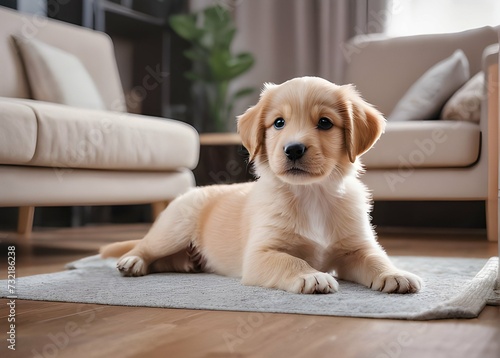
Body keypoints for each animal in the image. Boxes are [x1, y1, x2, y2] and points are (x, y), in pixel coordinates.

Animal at [101, 75, 422, 294]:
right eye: (279, 123)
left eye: (325, 123)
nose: (293, 149)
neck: (312, 194)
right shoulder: (259, 254)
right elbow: (290, 261)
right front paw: (310, 275)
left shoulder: (355, 248)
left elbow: (376, 258)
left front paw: (394, 273)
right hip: (173, 228)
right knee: (145, 245)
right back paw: (132, 261)